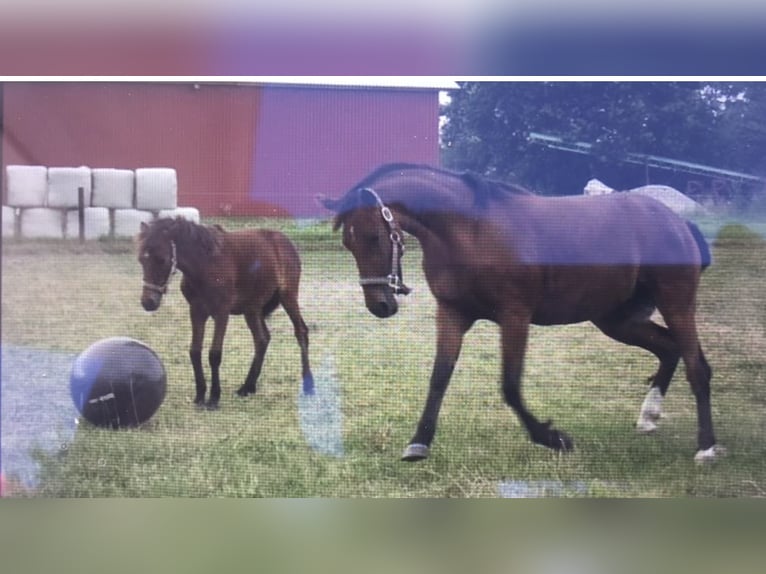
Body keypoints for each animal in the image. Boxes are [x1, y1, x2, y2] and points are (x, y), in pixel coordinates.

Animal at [138, 217, 316, 410]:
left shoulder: (221, 312)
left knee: (301, 332)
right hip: (251, 308)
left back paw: (308, 386)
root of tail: (285, 240)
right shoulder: (196, 311)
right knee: (262, 339)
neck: (206, 265)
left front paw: (214, 398)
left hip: (287, 296)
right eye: (141, 260)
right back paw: (247, 387)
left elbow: (214, 354)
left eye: (162, 259)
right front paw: (199, 396)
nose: (148, 302)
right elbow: (194, 351)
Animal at [322, 161, 728, 464]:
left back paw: (706, 448)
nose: (380, 305)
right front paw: (418, 442)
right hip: (616, 319)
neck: (469, 231)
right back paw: (648, 418)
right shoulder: (451, 314)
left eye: (375, 236)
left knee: (696, 366)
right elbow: (439, 377)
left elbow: (511, 386)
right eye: (347, 242)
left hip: (676, 303)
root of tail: (678, 223)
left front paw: (554, 437)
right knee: (669, 348)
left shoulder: (514, 315)